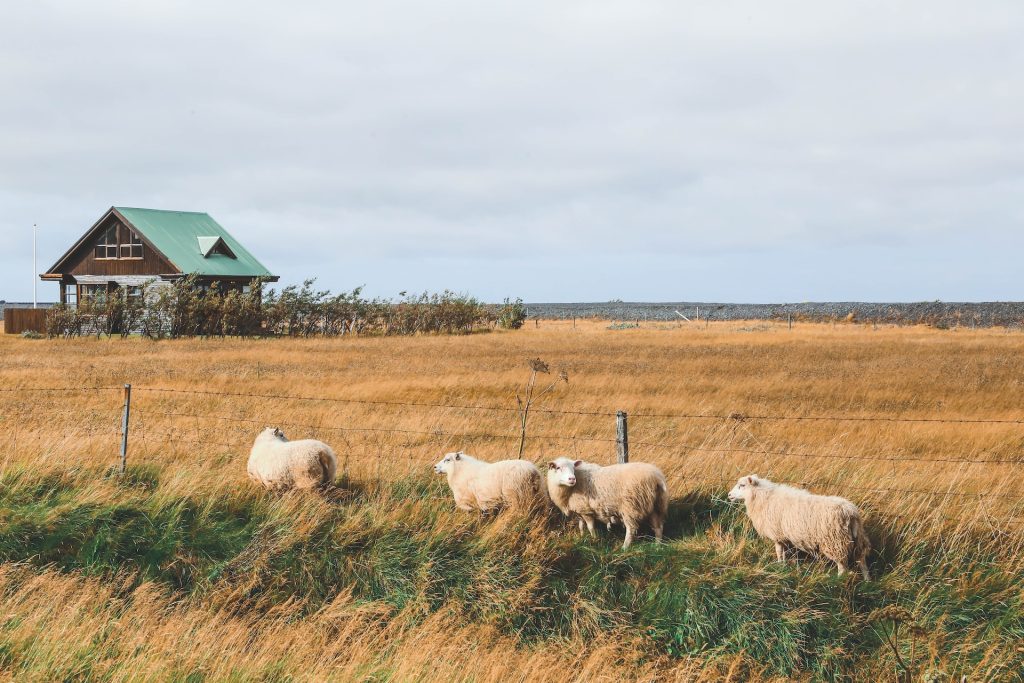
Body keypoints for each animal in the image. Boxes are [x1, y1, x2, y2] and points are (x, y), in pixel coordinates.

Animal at [729, 475, 872, 581]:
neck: (763, 497)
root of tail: (850, 513)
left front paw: (779, 565)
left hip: (835, 541)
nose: (729, 495)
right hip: (857, 539)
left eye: (742, 485)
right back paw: (867, 581)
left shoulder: (777, 534)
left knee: (842, 566)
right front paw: (783, 566)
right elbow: (782, 551)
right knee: (862, 560)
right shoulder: (781, 535)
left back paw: (837, 581)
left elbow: (778, 551)